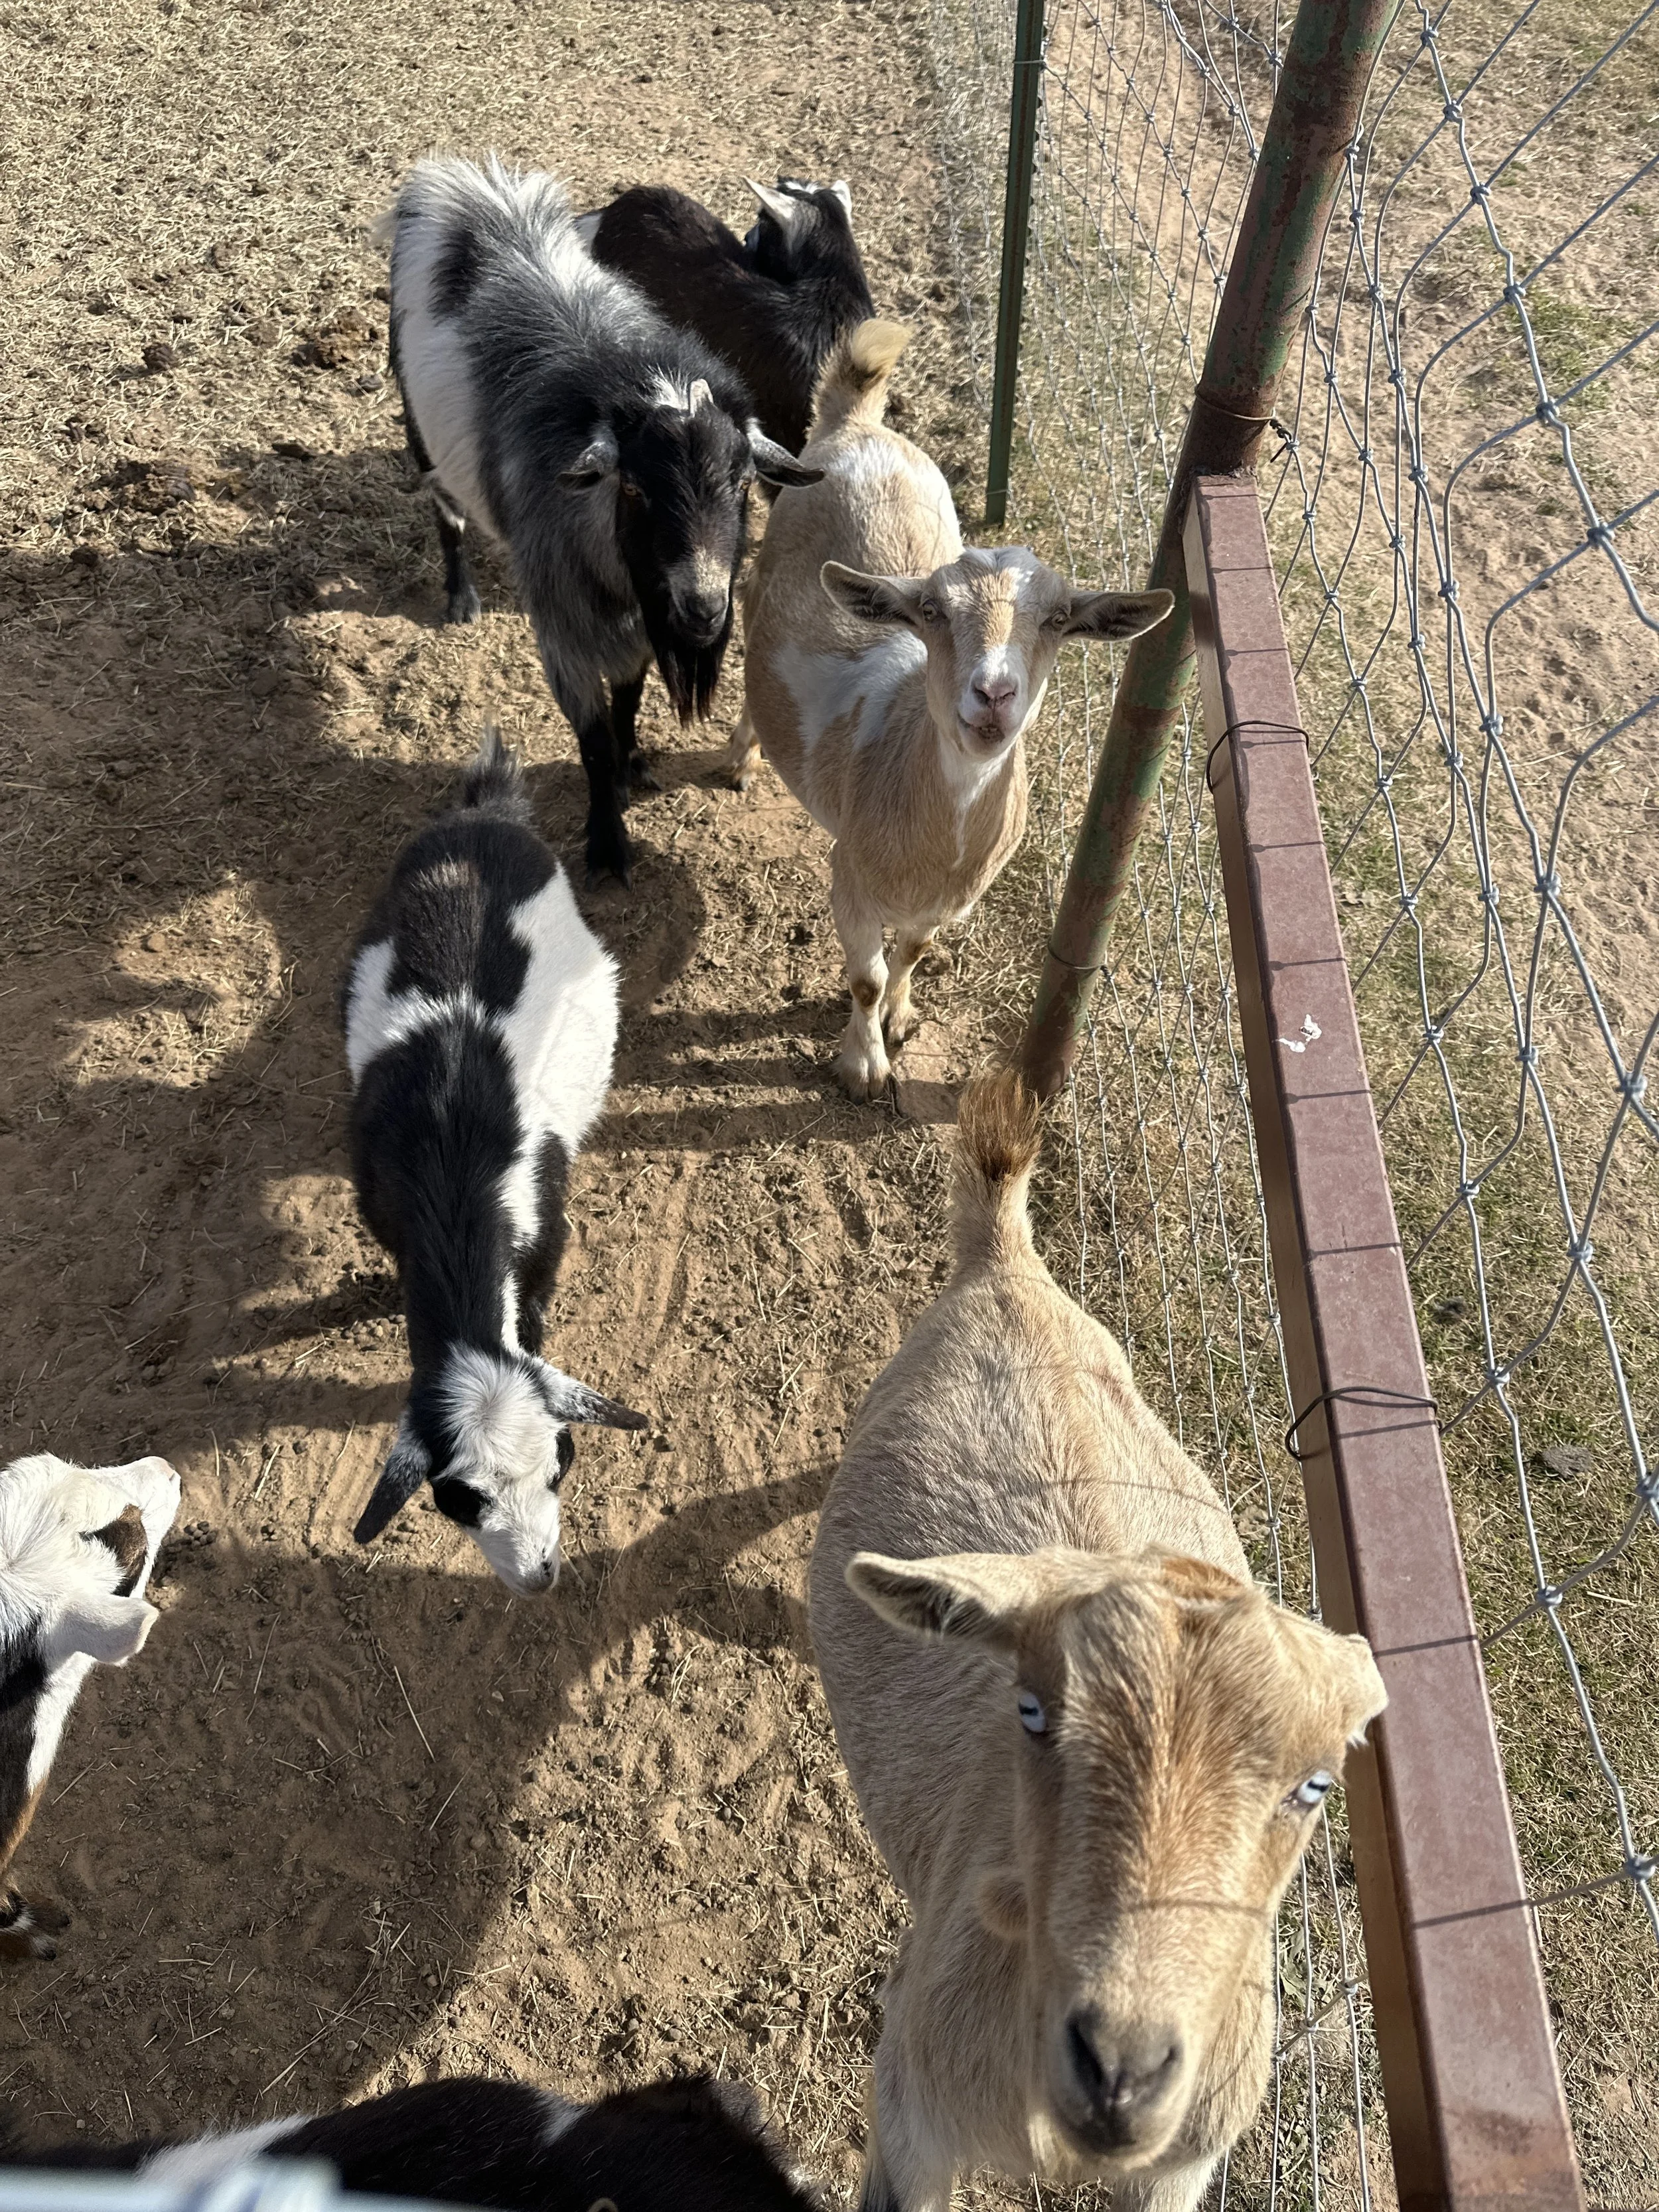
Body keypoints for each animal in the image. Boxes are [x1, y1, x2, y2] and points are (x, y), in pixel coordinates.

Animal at [342, 728, 646, 1594]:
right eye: (460, 1499)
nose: (540, 1576)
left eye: (560, 1466)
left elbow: (535, 1312)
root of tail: (487, 815)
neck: (452, 1175)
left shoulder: (544, 1223)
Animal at [382, 153, 823, 885]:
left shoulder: (637, 624)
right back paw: (461, 599)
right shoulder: (565, 632)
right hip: (423, 440)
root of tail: (470, 193)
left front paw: (634, 759)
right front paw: (608, 844)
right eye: (636, 488)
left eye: (740, 484)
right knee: (448, 516)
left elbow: (630, 698)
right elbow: (589, 741)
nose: (704, 609)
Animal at [731, 322, 1173, 1099]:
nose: (993, 692)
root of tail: (859, 425)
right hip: (761, 579)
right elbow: (866, 977)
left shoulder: (945, 906)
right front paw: (864, 1065)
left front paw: (902, 1019)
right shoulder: (849, 878)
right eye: (931, 611)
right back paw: (741, 755)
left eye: (1059, 620)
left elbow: (909, 956)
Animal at [809, 1072, 1388, 2212]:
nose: (1119, 2067)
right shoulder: (909, 2112)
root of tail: (1007, 1262)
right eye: (1032, 1713)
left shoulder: (1181, 2166)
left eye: (1316, 1786)